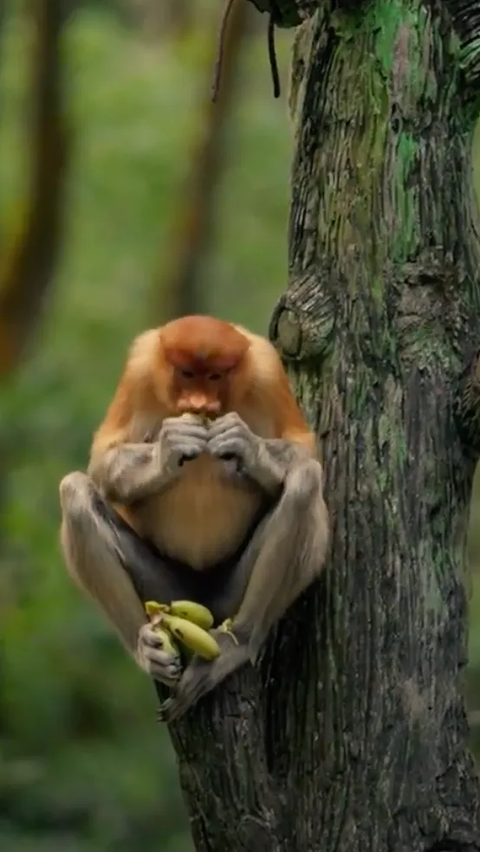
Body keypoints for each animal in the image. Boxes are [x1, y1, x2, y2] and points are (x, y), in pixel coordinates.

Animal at [59, 316, 330, 724]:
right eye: (187, 373)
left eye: (216, 376)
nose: (198, 405)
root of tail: (203, 596)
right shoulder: (140, 367)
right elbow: (104, 458)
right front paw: (170, 447)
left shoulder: (267, 369)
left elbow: (303, 449)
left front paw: (243, 444)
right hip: (164, 588)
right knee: (75, 491)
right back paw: (147, 648)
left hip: (229, 596)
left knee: (305, 480)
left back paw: (239, 643)